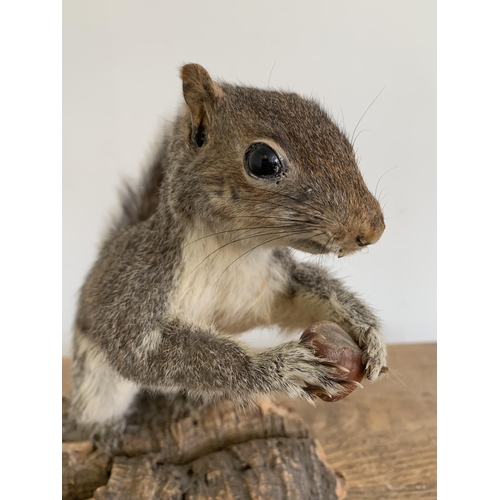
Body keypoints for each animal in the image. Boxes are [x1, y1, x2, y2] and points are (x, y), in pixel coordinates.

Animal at [70, 64, 388, 440]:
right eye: (263, 161)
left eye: (344, 144)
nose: (373, 229)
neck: (233, 250)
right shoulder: (138, 287)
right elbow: (143, 351)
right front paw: (281, 367)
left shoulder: (271, 287)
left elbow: (315, 293)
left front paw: (368, 332)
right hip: (94, 378)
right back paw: (104, 430)